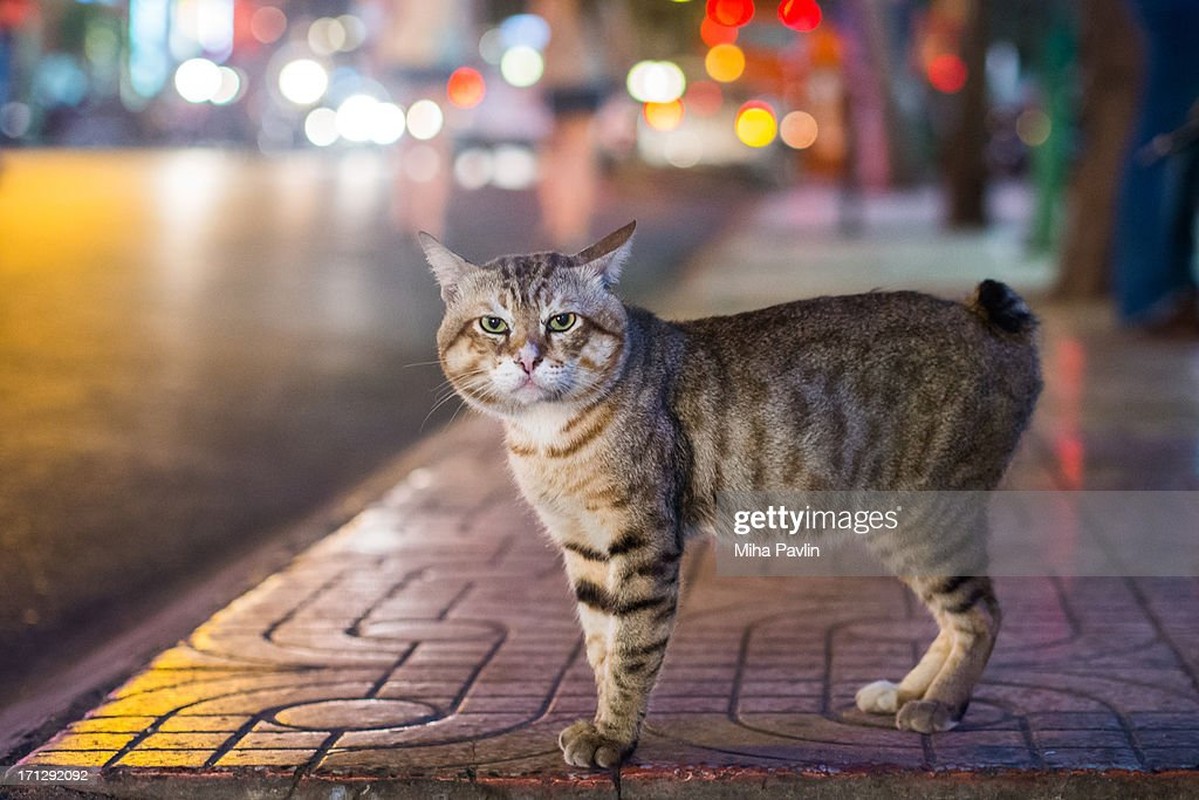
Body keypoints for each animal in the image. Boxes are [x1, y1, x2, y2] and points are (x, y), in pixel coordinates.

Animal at [419, 220, 1040, 767]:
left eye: (562, 320)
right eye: (493, 324)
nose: (528, 357)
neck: (549, 441)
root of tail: (980, 315)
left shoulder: (645, 544)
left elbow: (631, 650)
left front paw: (613, 736)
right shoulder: (584, 547)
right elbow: (602, 644)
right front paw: (604, 721)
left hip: (928, 517)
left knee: (982, 614)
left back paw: (941, 704)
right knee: (953, 619)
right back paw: (909, 692)